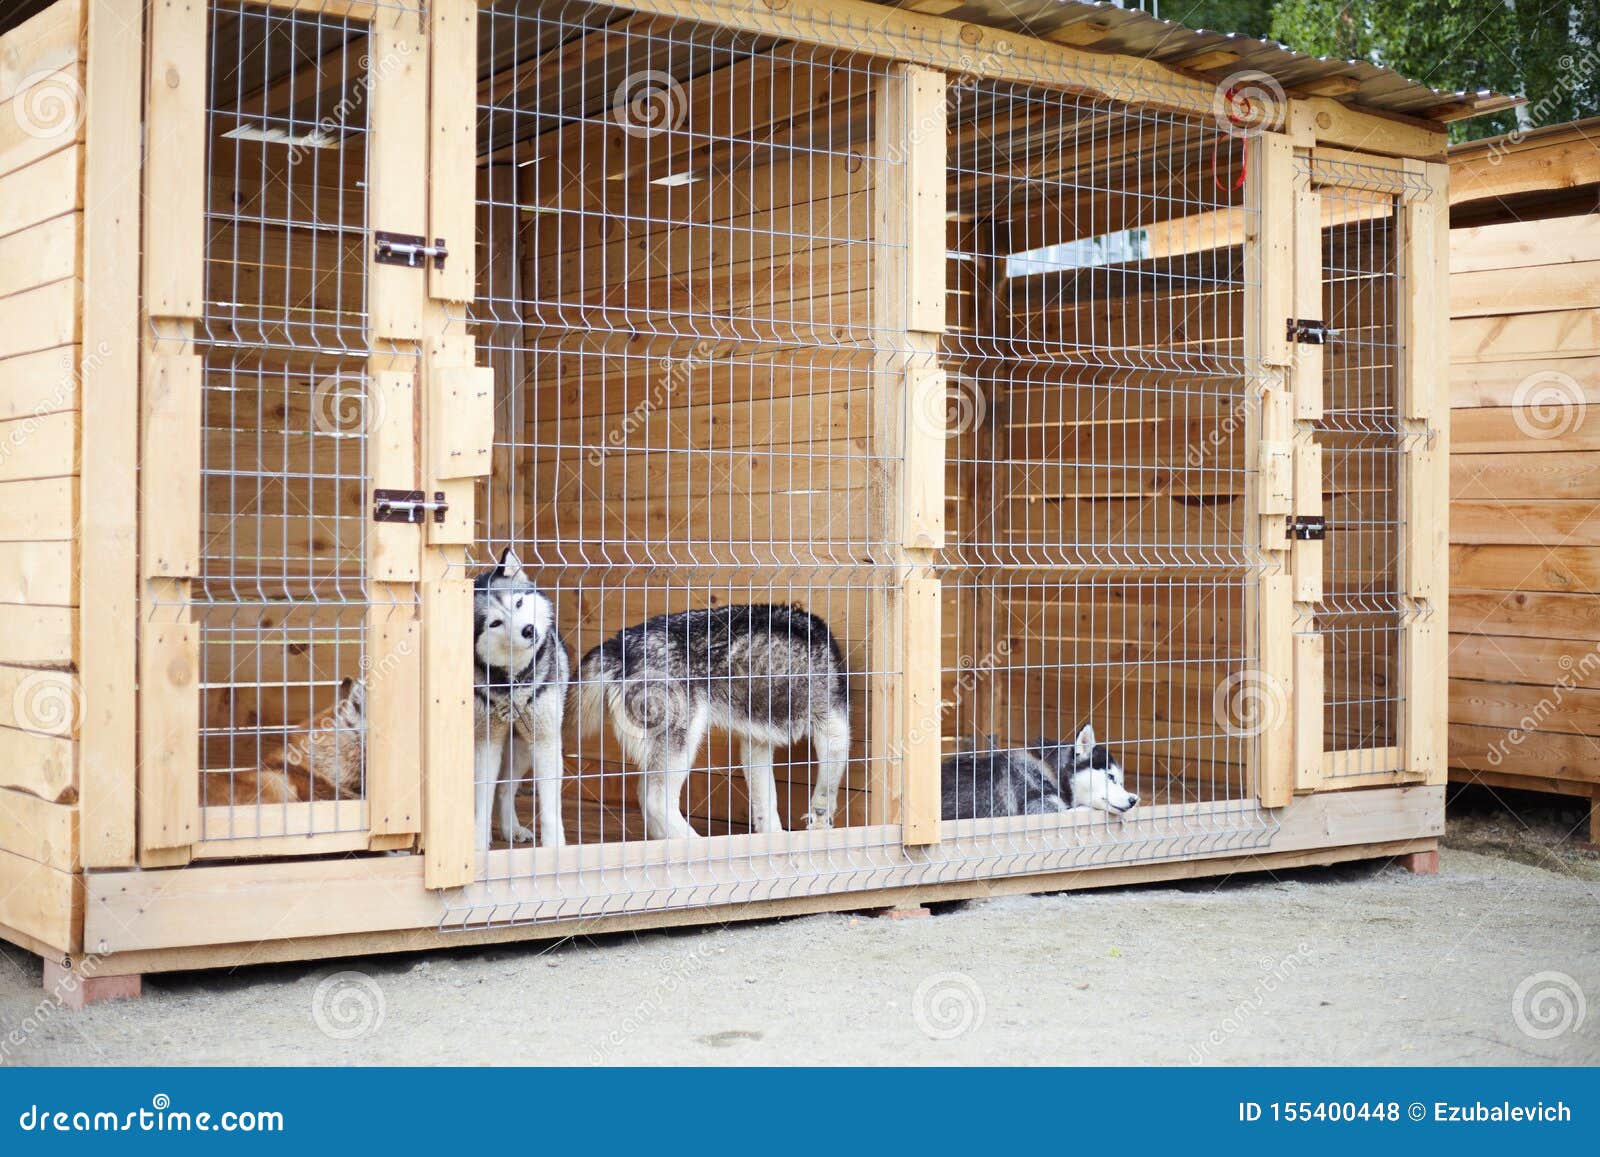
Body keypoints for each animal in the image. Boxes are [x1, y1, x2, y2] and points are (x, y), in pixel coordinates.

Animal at [470, 547, 572, 857]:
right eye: (494, 623)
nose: (528, 630)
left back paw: (511, 829)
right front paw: (477, 845)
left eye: (517, 603)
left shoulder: (545, 740)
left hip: (524, 746)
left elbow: (550, 807)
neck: (514, 681)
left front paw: (554, 848)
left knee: (506, 788)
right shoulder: (486, 742)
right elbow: (482, 798)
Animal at [576, 601, 851, 838]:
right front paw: (819, 828)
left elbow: (766, 803)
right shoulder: (834, 730)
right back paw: (693, 842)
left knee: (644, 795)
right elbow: (825, 793)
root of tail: (619, 643)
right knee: (655, 800)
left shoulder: (757, 744)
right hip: (684, 742)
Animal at [934, 723, 1139, 825]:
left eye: (1121, 782)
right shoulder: (1037, 809)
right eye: (1110, 777)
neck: (1050, 771)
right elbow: (1085, 808)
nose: (1132, 800)